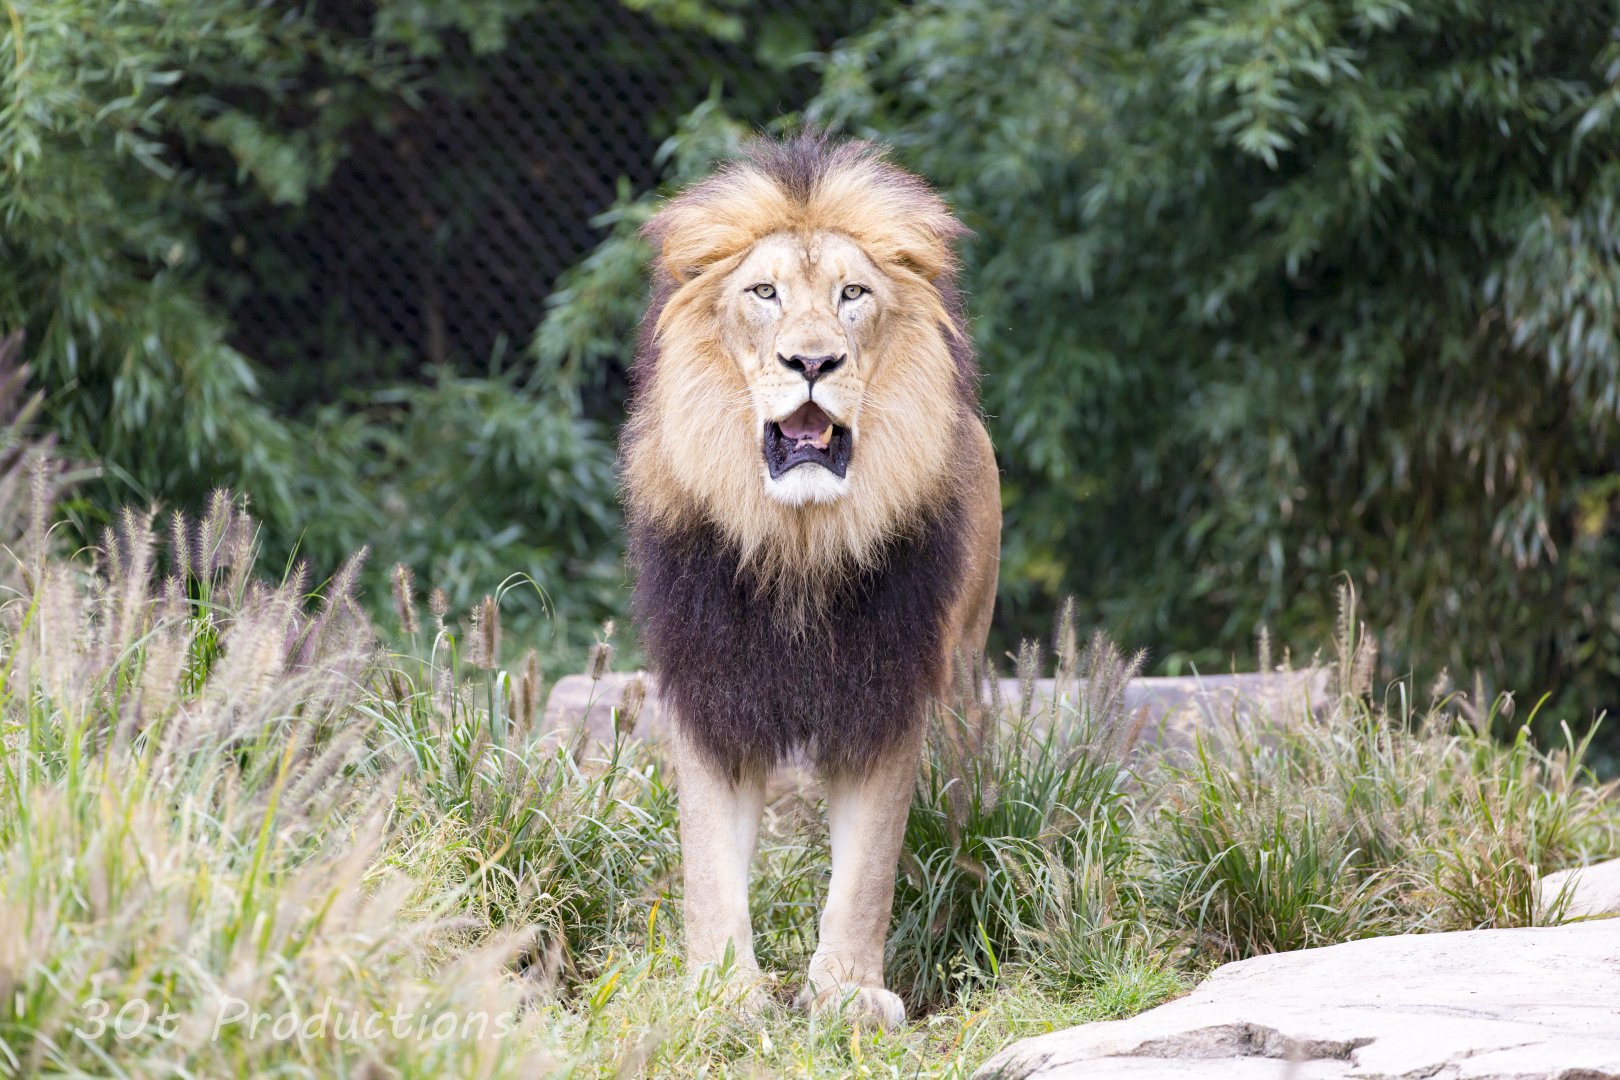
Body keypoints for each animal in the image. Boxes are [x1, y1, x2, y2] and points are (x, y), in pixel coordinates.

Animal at [621, 132, 1001, 1028]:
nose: (813, 361)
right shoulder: (712, 686)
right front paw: (723, 993)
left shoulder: (887, 690)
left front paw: (848, 994)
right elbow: (709, 863)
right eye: (763, 292)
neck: (800, 542)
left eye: (852, 294)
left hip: (963, 676)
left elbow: (865, 871)